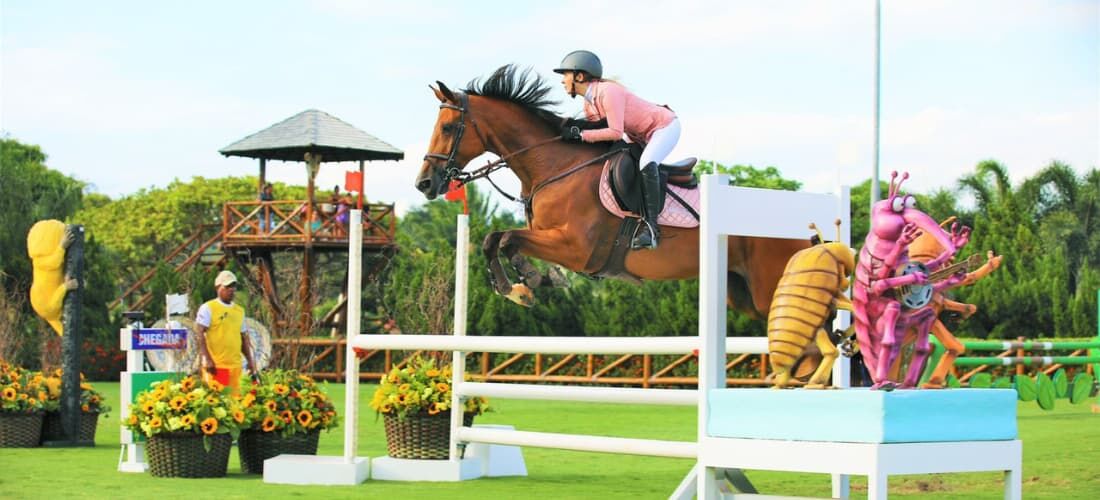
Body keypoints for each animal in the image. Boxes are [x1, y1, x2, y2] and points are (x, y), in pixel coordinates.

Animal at [415, 65, 814, 320]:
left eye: (448, 127)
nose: (424, 184)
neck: (554, 167)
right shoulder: (548, 237)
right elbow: (495, 239)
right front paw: (530, 282)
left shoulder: (577, 248)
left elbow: (507, 238)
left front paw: (522, 286)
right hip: (743, 293)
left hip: (769, 288)